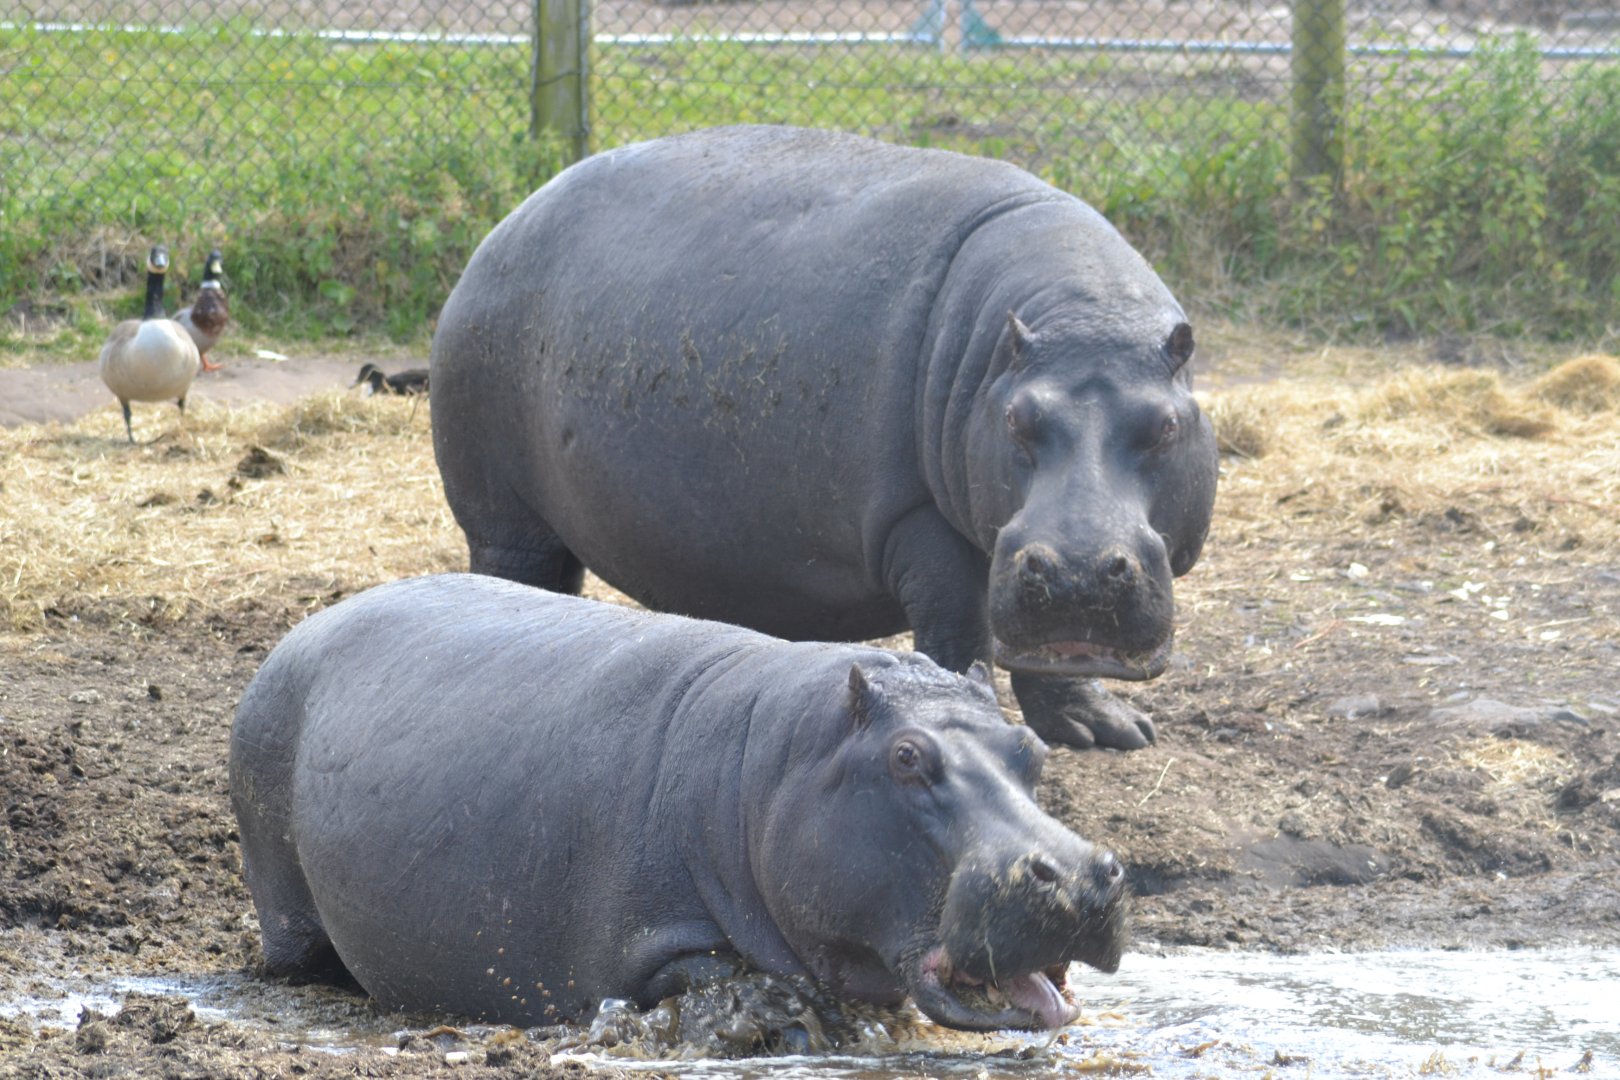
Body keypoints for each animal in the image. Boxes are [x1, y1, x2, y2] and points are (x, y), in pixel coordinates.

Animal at [229, 574, 1129, 1030]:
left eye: (1031, 749)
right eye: (907, 758)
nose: (1084, 874)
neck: (770, 768)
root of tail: (302, 629)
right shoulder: (645, 944)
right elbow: (719, 972)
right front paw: (792, 1014)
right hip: (281, 886)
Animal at [431, 125, 1218, 750]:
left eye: (1167, 425)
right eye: (1016, 421)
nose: (1078, 573)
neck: (1083, 315)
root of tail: (503, 228)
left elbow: (1048, 660)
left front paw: (1110, 730)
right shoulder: (922, 522)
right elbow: (960, 633)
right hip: (503, 518)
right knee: (511, 575)